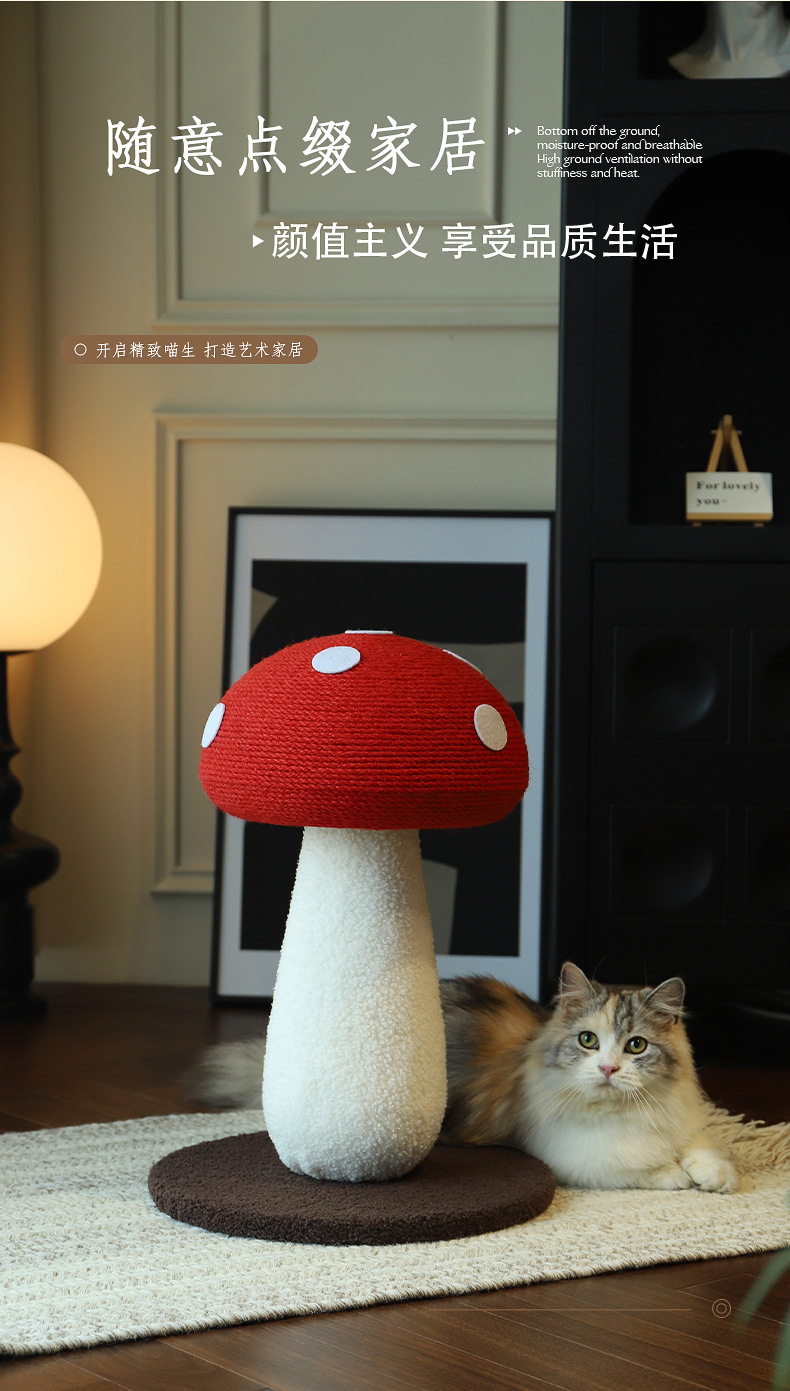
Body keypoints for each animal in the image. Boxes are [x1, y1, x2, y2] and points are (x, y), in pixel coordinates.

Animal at [189, 961, 738, 1193]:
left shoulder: (682, 1120)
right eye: (588, 1041)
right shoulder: (581, 1158)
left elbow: (703, 1150)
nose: (607, 1068)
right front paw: (676, 1177)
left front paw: (716, 1178)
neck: (622, 1113)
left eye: (636, 1046)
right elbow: (640, 1169)